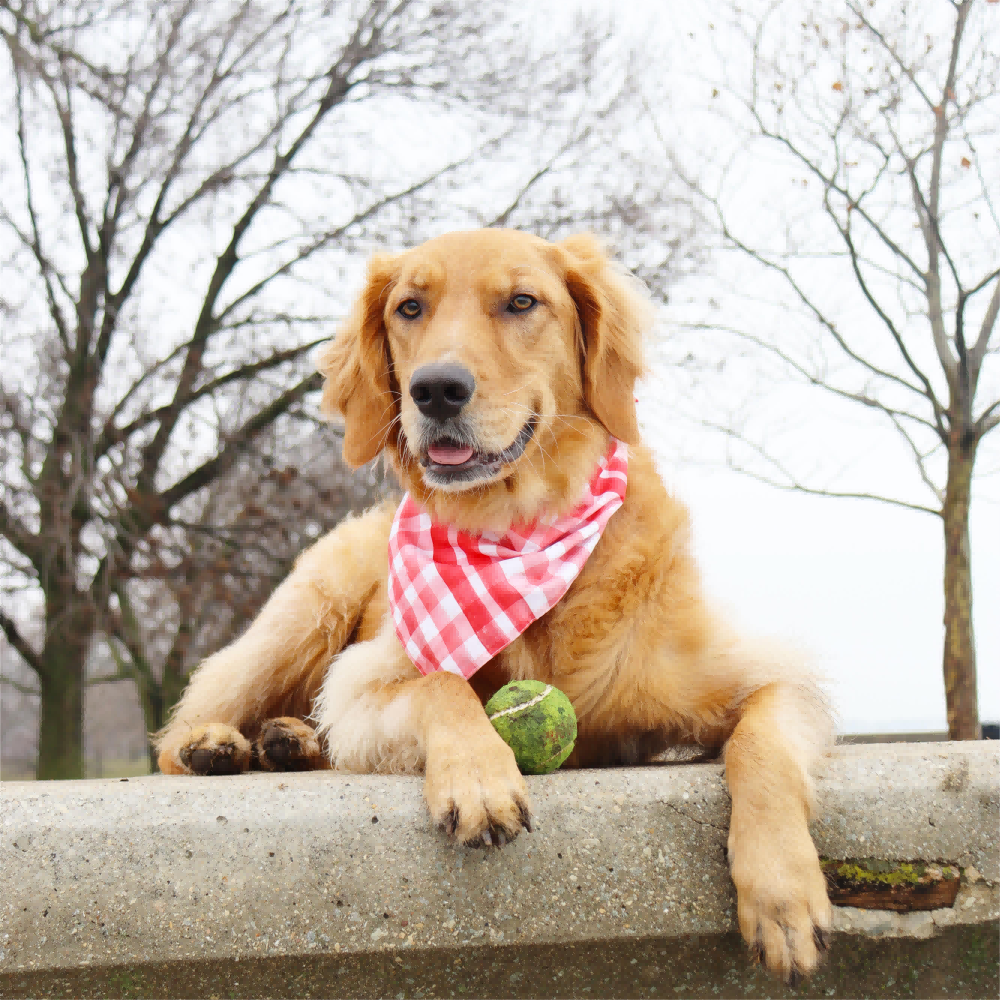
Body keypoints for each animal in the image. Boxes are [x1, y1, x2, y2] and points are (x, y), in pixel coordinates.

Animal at [152, 229, 832, 984]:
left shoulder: (768, 676)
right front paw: (478, 777)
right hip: (307, 611)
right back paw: (214, 744)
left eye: (522, 302)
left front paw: (783, 895)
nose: (435, 390)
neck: (517, 530)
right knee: (182, 727)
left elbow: (762, 746)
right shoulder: (360, 686)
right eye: (410, 307)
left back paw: (287, 740)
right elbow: (441, 685)